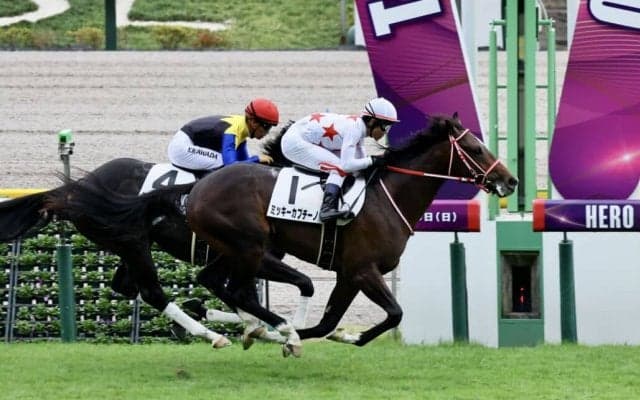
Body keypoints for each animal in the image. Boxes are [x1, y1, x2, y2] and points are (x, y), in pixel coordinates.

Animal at [0, 157, 314, 347]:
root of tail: (75, 189)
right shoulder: (253, 254)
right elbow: (244, 294)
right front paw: (278, 331)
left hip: (127, 245)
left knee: (127, 286)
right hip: (133, 241)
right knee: (151, 291)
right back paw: (210, 334)